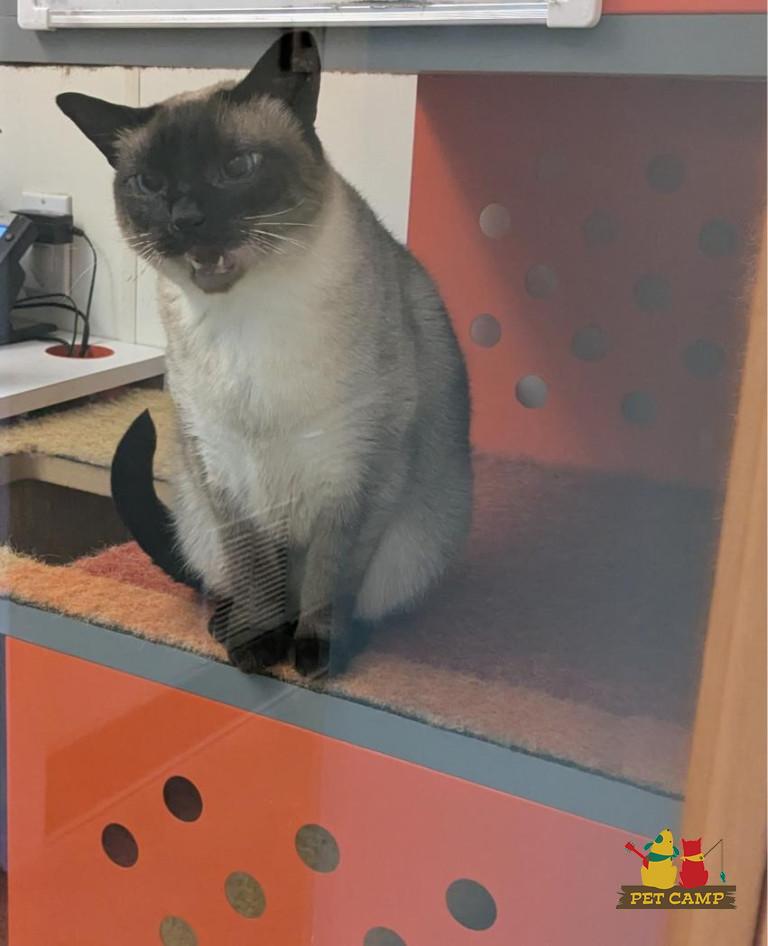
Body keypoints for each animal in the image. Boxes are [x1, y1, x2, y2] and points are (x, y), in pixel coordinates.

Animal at [57, 31, 472, 677]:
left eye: (237, 168)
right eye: (148, 184)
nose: (186, 219)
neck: (244, 323)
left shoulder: (357, 474)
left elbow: (328, 577)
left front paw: (313, 657)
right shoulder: (226, 470)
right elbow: (255, 571)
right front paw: (256, 647)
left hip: (418, 542)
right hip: (198, 504)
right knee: (218, 579)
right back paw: (225, 626)